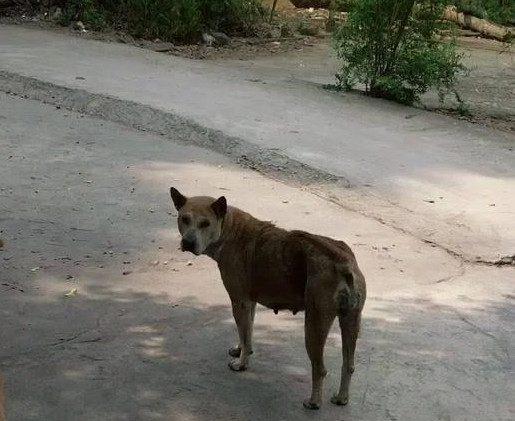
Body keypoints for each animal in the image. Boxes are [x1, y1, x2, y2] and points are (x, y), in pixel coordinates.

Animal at [169, 188, 366, 410]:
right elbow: (246, 330)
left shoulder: (239, 300)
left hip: (315, 325)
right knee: (348, 364)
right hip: (351, 320)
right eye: (184, 219)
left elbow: (244, 332)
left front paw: (242, 363)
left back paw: (314, 401)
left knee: (320, 368)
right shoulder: (250, 302)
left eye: (205, 223)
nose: (188, 243)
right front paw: (241, 349)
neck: (228, 227)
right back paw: (342, 397)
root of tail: (341, 261)